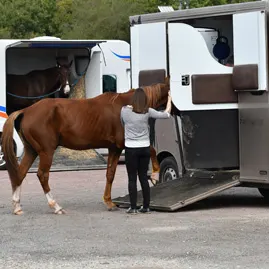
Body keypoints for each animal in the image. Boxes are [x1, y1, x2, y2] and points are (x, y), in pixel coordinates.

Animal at [2, 77, 169, 214]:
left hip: (31, 151)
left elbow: (110, 174)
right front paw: (155, 174)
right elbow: (151, 149)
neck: (126, 105)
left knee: (20, 173)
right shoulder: (123, 144)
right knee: (42, 175)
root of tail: (26, 111)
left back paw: (17, 207)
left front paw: (108, 202)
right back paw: (56, 206)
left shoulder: (113, 148)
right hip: (46, 152)